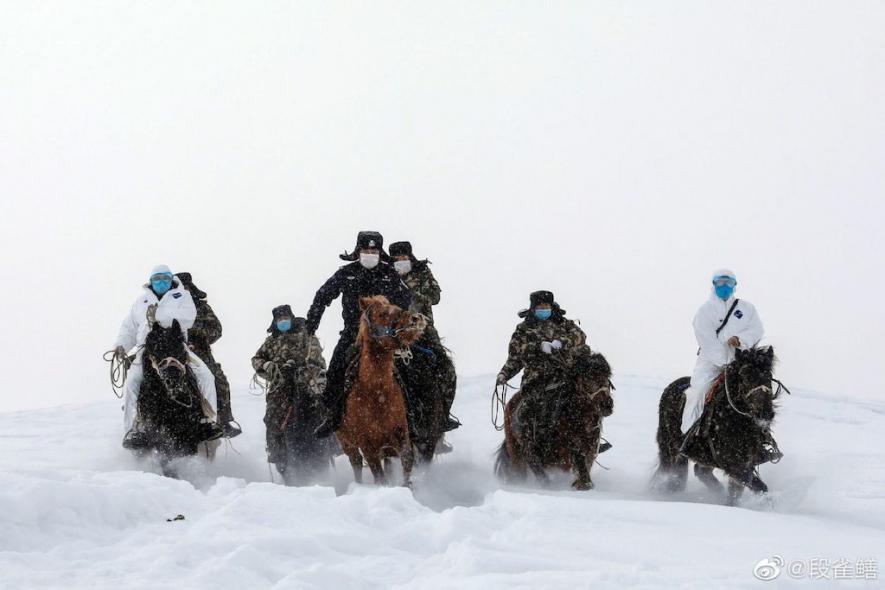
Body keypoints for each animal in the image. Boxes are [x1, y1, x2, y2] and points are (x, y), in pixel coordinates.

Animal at [136, 322, 218, 478]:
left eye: (180, 349)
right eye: (156, 350)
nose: (173, 379)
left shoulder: (189, 436)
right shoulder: (160, 438)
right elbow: (167, 461)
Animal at [334, 294, 424, 488]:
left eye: (397, 306)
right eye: (382, 313)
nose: (415, 319)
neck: (377, 393)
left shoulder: (401, 433)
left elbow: (407, 459)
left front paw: (407, 487)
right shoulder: (367, 445)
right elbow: (379, 475)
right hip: (348, 444)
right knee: (356, 464)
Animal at [494, 350, 612, 492]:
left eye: (608, 376)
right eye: (586, 378)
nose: (606, 405)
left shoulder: (590, 450)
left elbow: (584, 467)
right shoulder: (568, 450)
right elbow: (578, 462)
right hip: (519, 454)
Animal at [656, 346, 780, 508]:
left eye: (768, 376)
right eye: (745, 376)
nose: (765, 414)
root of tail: (671, 386)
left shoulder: (744, 463)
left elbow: (737, 493)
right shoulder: (734, 465)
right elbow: (758, 486)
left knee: (700, 471)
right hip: (669, 448)